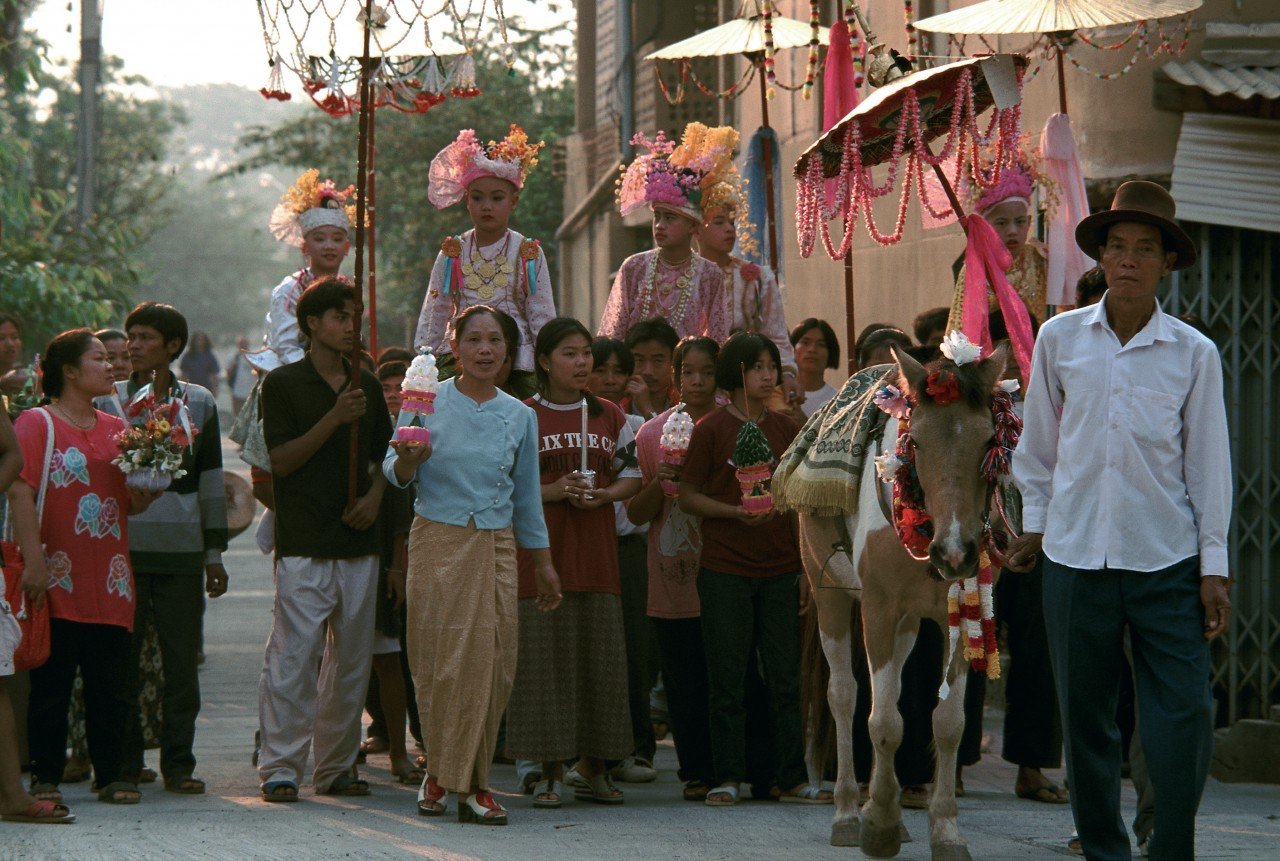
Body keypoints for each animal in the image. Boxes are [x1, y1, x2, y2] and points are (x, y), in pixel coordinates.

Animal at [798, 345, 1008, 859]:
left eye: (987, 441)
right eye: (916, 441)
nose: (955, 551)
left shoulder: (961, 611)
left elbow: (947, 722)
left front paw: (945, 829)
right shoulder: (877, 608)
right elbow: (883, 721)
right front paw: (878, 826)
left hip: (908, 623)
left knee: (888, 687)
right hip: (830, 596)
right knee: (845, 696)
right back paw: (848, 813)